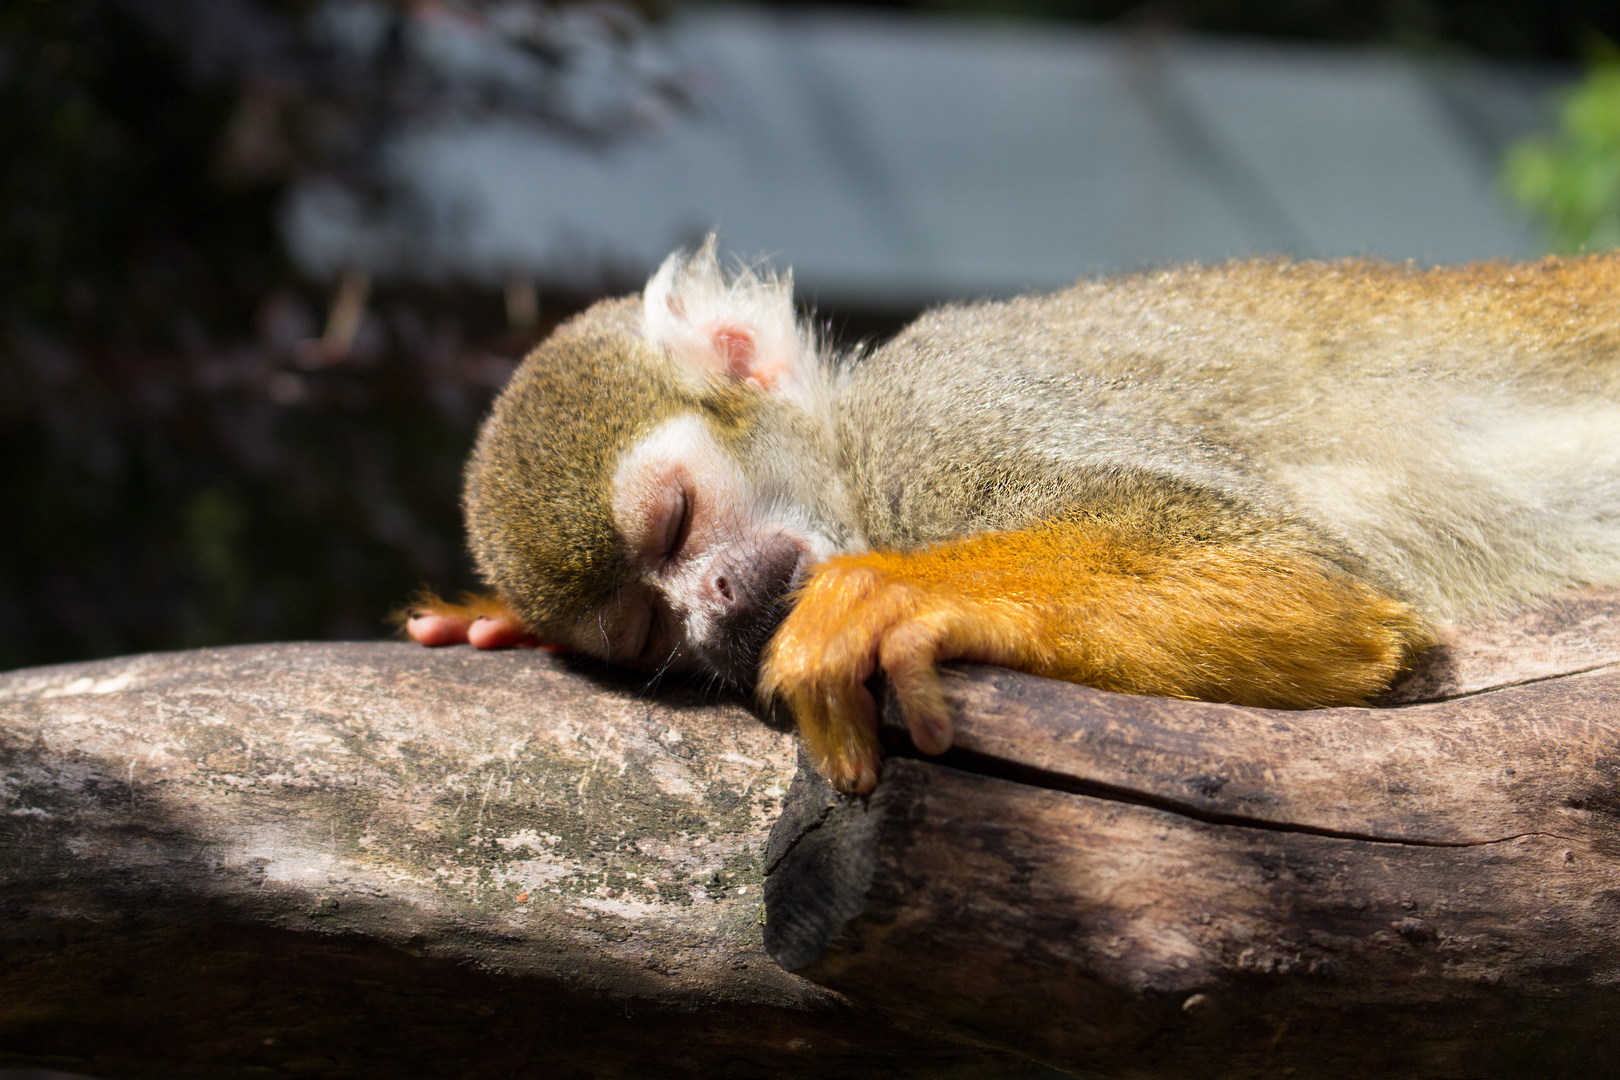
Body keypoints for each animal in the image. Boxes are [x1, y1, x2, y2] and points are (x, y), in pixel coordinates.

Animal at [408, 242, 1620, 793]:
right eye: (648, 628)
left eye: (672, 524)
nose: (708, 602)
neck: (857, 454)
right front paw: (483, 616)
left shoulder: (949, 406)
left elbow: (1293, 573)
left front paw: (889, 595)